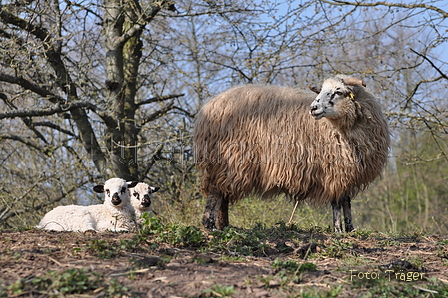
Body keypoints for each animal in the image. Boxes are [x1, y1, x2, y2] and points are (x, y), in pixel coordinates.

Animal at [194, 74, 390, 233]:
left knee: (223, 194)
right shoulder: (334, 170)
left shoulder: (348, 171)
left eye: (338, 91)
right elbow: (336, 202)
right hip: (226, 160)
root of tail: (209, 107)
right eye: (322, 90)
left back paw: (224, 225)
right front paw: (338, 230)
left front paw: (350, 229)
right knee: (215, 192)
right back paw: (210, 226)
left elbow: (346, 201)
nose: (313, 108)